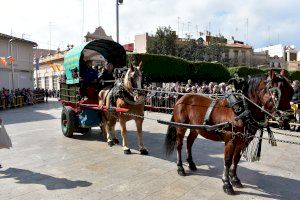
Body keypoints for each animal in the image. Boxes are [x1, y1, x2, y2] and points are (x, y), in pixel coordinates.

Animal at [163, 70, 292, 194]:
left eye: (290, 90)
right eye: (276, 93)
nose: (288, 118)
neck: (241, 109)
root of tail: (181, 98)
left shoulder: (242, 142)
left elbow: (236, 159)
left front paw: (235, 179)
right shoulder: (230, 141)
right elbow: (228, 160)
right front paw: (227, 183)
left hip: (196, 128)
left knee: (189, 142)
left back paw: (191, 163)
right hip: (181, 127)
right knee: (179, 145)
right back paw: (180, 167)